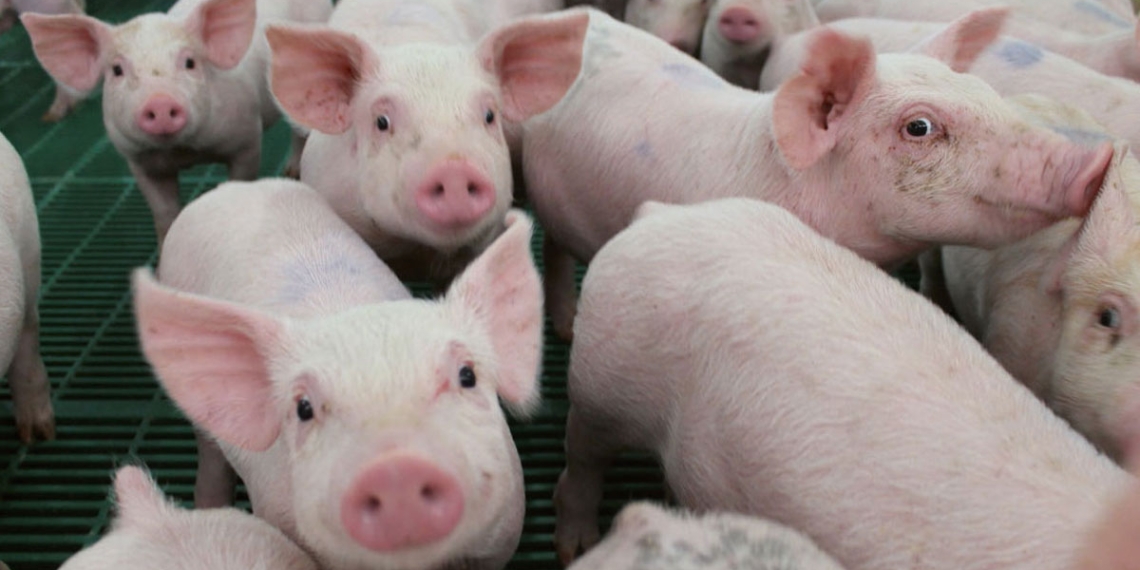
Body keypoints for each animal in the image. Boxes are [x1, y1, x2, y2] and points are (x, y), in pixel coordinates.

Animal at [21, 0, 334, 247]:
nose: (159, 102)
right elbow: (164, 212)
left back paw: (291, 171)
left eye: (190, 62)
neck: (186, 152)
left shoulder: (246, 137)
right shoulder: (138, 160)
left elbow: (241, 177)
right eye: (117, 70)